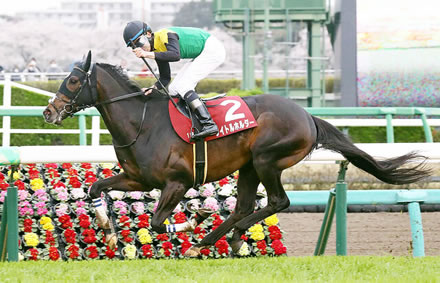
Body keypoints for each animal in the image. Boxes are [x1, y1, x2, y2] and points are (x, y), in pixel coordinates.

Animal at [42, 51, 430, 258]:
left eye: (73, 81)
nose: (48, 112)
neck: (143, 122)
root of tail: (308, 117)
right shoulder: (138, 177)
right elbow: (96, 189)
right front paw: (107, 232)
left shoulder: (178, 182)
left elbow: (157, 221)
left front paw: (193, 219)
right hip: (248, 167)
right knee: (244, 205)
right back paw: (217, 239)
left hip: (266, 159)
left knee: (277, 201)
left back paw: (220, 236)